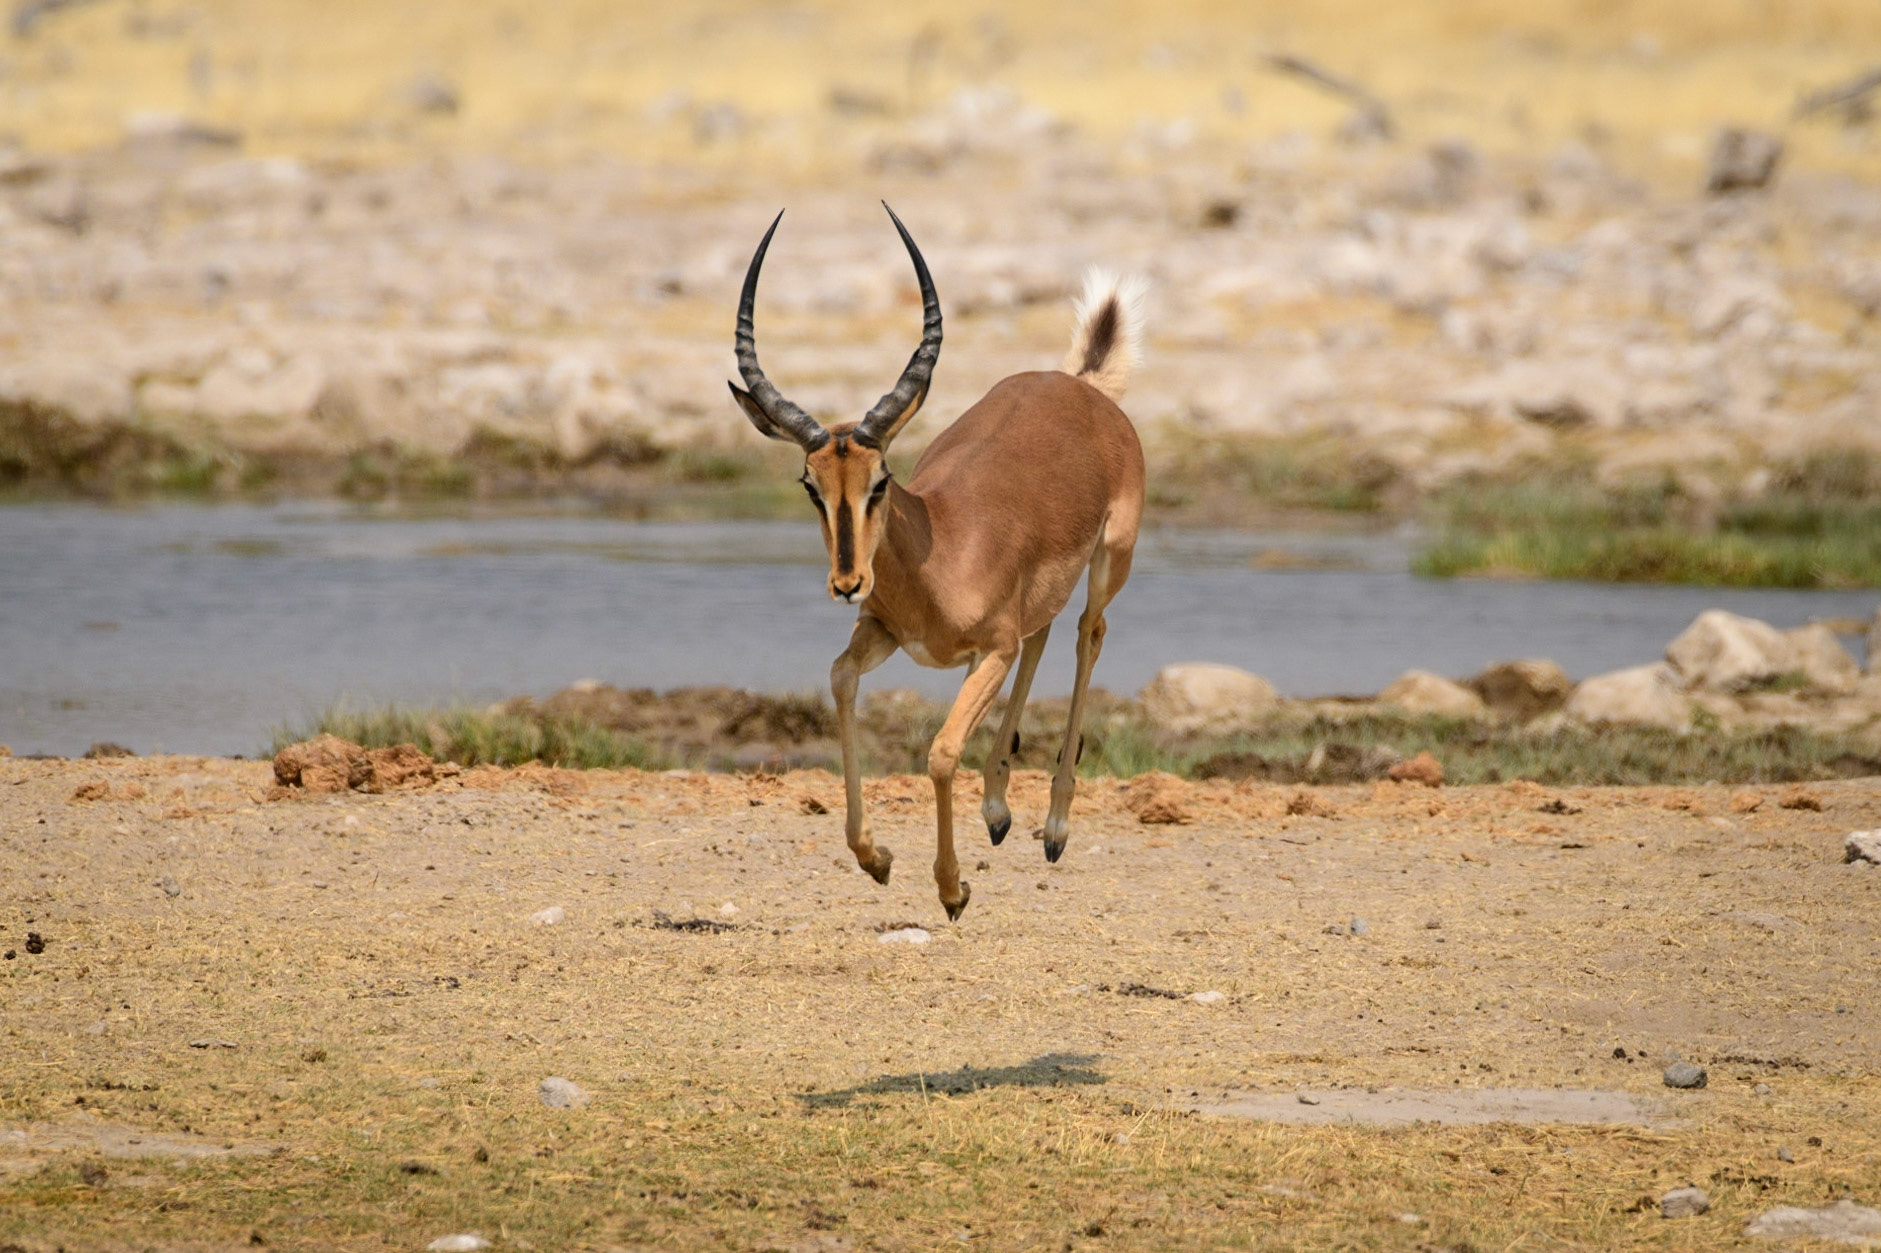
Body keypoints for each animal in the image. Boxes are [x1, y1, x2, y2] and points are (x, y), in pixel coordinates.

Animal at [728, 204, 1145, 919]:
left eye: (881, 480)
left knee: (1088, 635)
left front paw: (953, 890)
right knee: (1045, 634)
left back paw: (1055, 828)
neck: (941, 550)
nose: (848, 583)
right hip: (1030, 611)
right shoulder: (886, 633)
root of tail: (1081, 387)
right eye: (812, 485)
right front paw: (875, 859)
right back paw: (999, 812)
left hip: (1107, 566)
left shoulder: (991, 649)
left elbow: (944, 752)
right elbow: (840, 680)